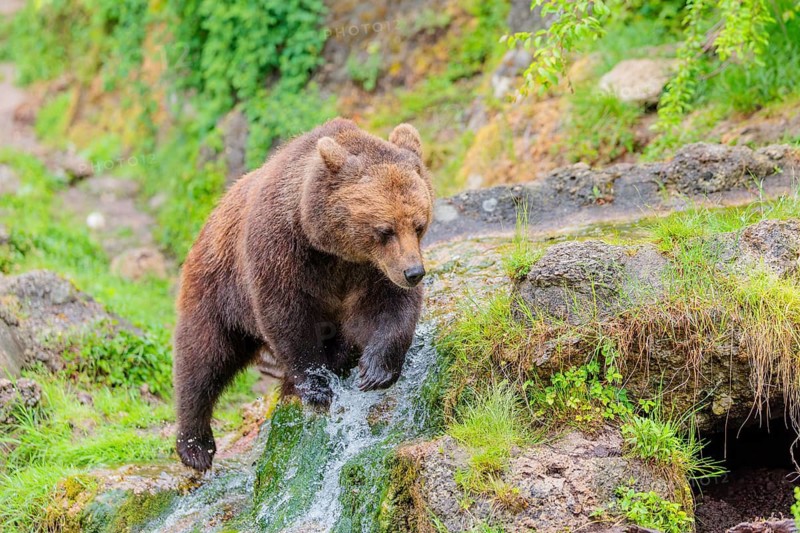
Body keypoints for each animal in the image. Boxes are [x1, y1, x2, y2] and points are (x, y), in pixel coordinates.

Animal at [173, 118, 434, 471]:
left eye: (419, 224)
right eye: (384, 230)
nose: (413, 272)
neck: (330, 248)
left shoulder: (369, 270)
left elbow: (387, 307)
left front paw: (375, 370)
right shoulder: (281, 252)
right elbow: (287, 317)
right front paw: (318, 386)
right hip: (216, 287)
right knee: (203, 355)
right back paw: (195, 445)